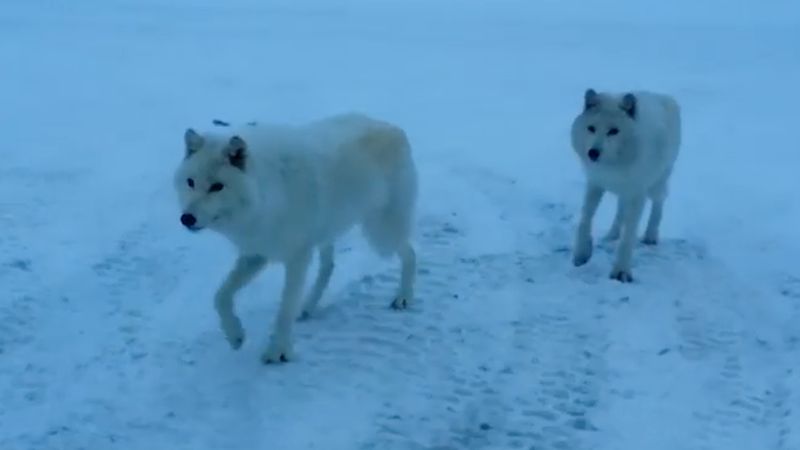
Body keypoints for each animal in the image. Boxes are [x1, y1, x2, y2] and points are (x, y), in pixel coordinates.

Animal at [171, 112, 416, 362]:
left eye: (217, 187)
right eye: (190, 182)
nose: (186, 218)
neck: (267, 195)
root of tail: (393, 127)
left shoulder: (297, 258)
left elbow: (285, 308)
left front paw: (278, 351)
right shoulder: (255, 253)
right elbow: (220, 296)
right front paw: (235, 336)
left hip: (381, 235)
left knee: (411, 253)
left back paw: (403, 298)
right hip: (329, 234)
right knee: (328, 267)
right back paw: (308, 307)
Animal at [568, 88, 680, 282]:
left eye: (614, 131)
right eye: (591, 128)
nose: (593, 153)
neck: (613, 167)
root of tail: (663, 96)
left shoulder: (637, 193)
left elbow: (629, 235)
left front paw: (621, 271)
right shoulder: (595, 183)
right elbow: (585, 218)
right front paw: (582, 254)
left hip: (656, 184)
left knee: (658, 203)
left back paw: (650, 236)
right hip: (624, 193)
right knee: (620, 211)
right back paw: (611, 236)